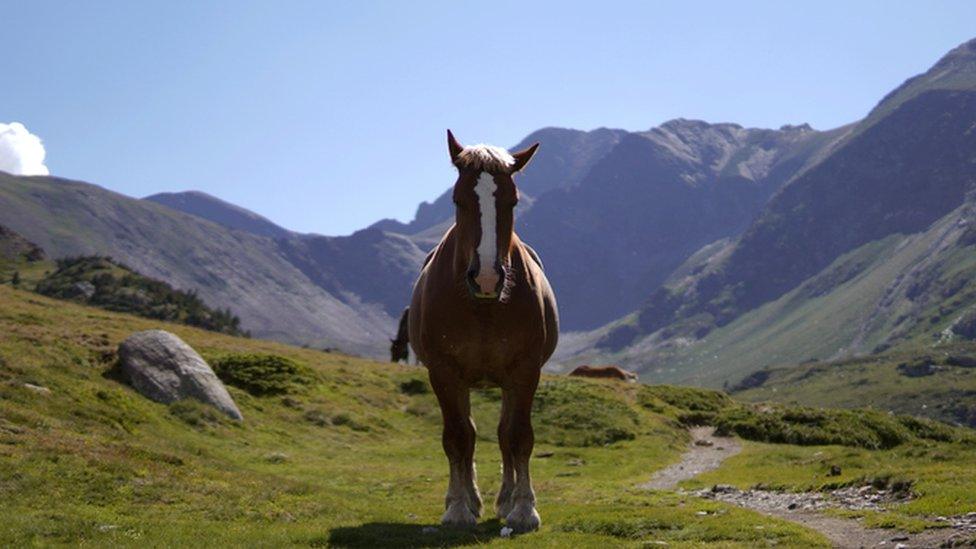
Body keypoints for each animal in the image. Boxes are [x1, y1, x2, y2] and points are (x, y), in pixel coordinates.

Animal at [406, 131, 556, 532]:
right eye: (458, 199)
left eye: (513, 200)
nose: (487, 278)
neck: (484, 307)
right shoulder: (444, 373)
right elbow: (458, 437)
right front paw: (459, 508)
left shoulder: (524, 372)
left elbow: (517, 437)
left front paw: (523, 509)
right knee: (468, 433)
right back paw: (468, 499)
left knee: (503, 434)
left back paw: (504, 499)